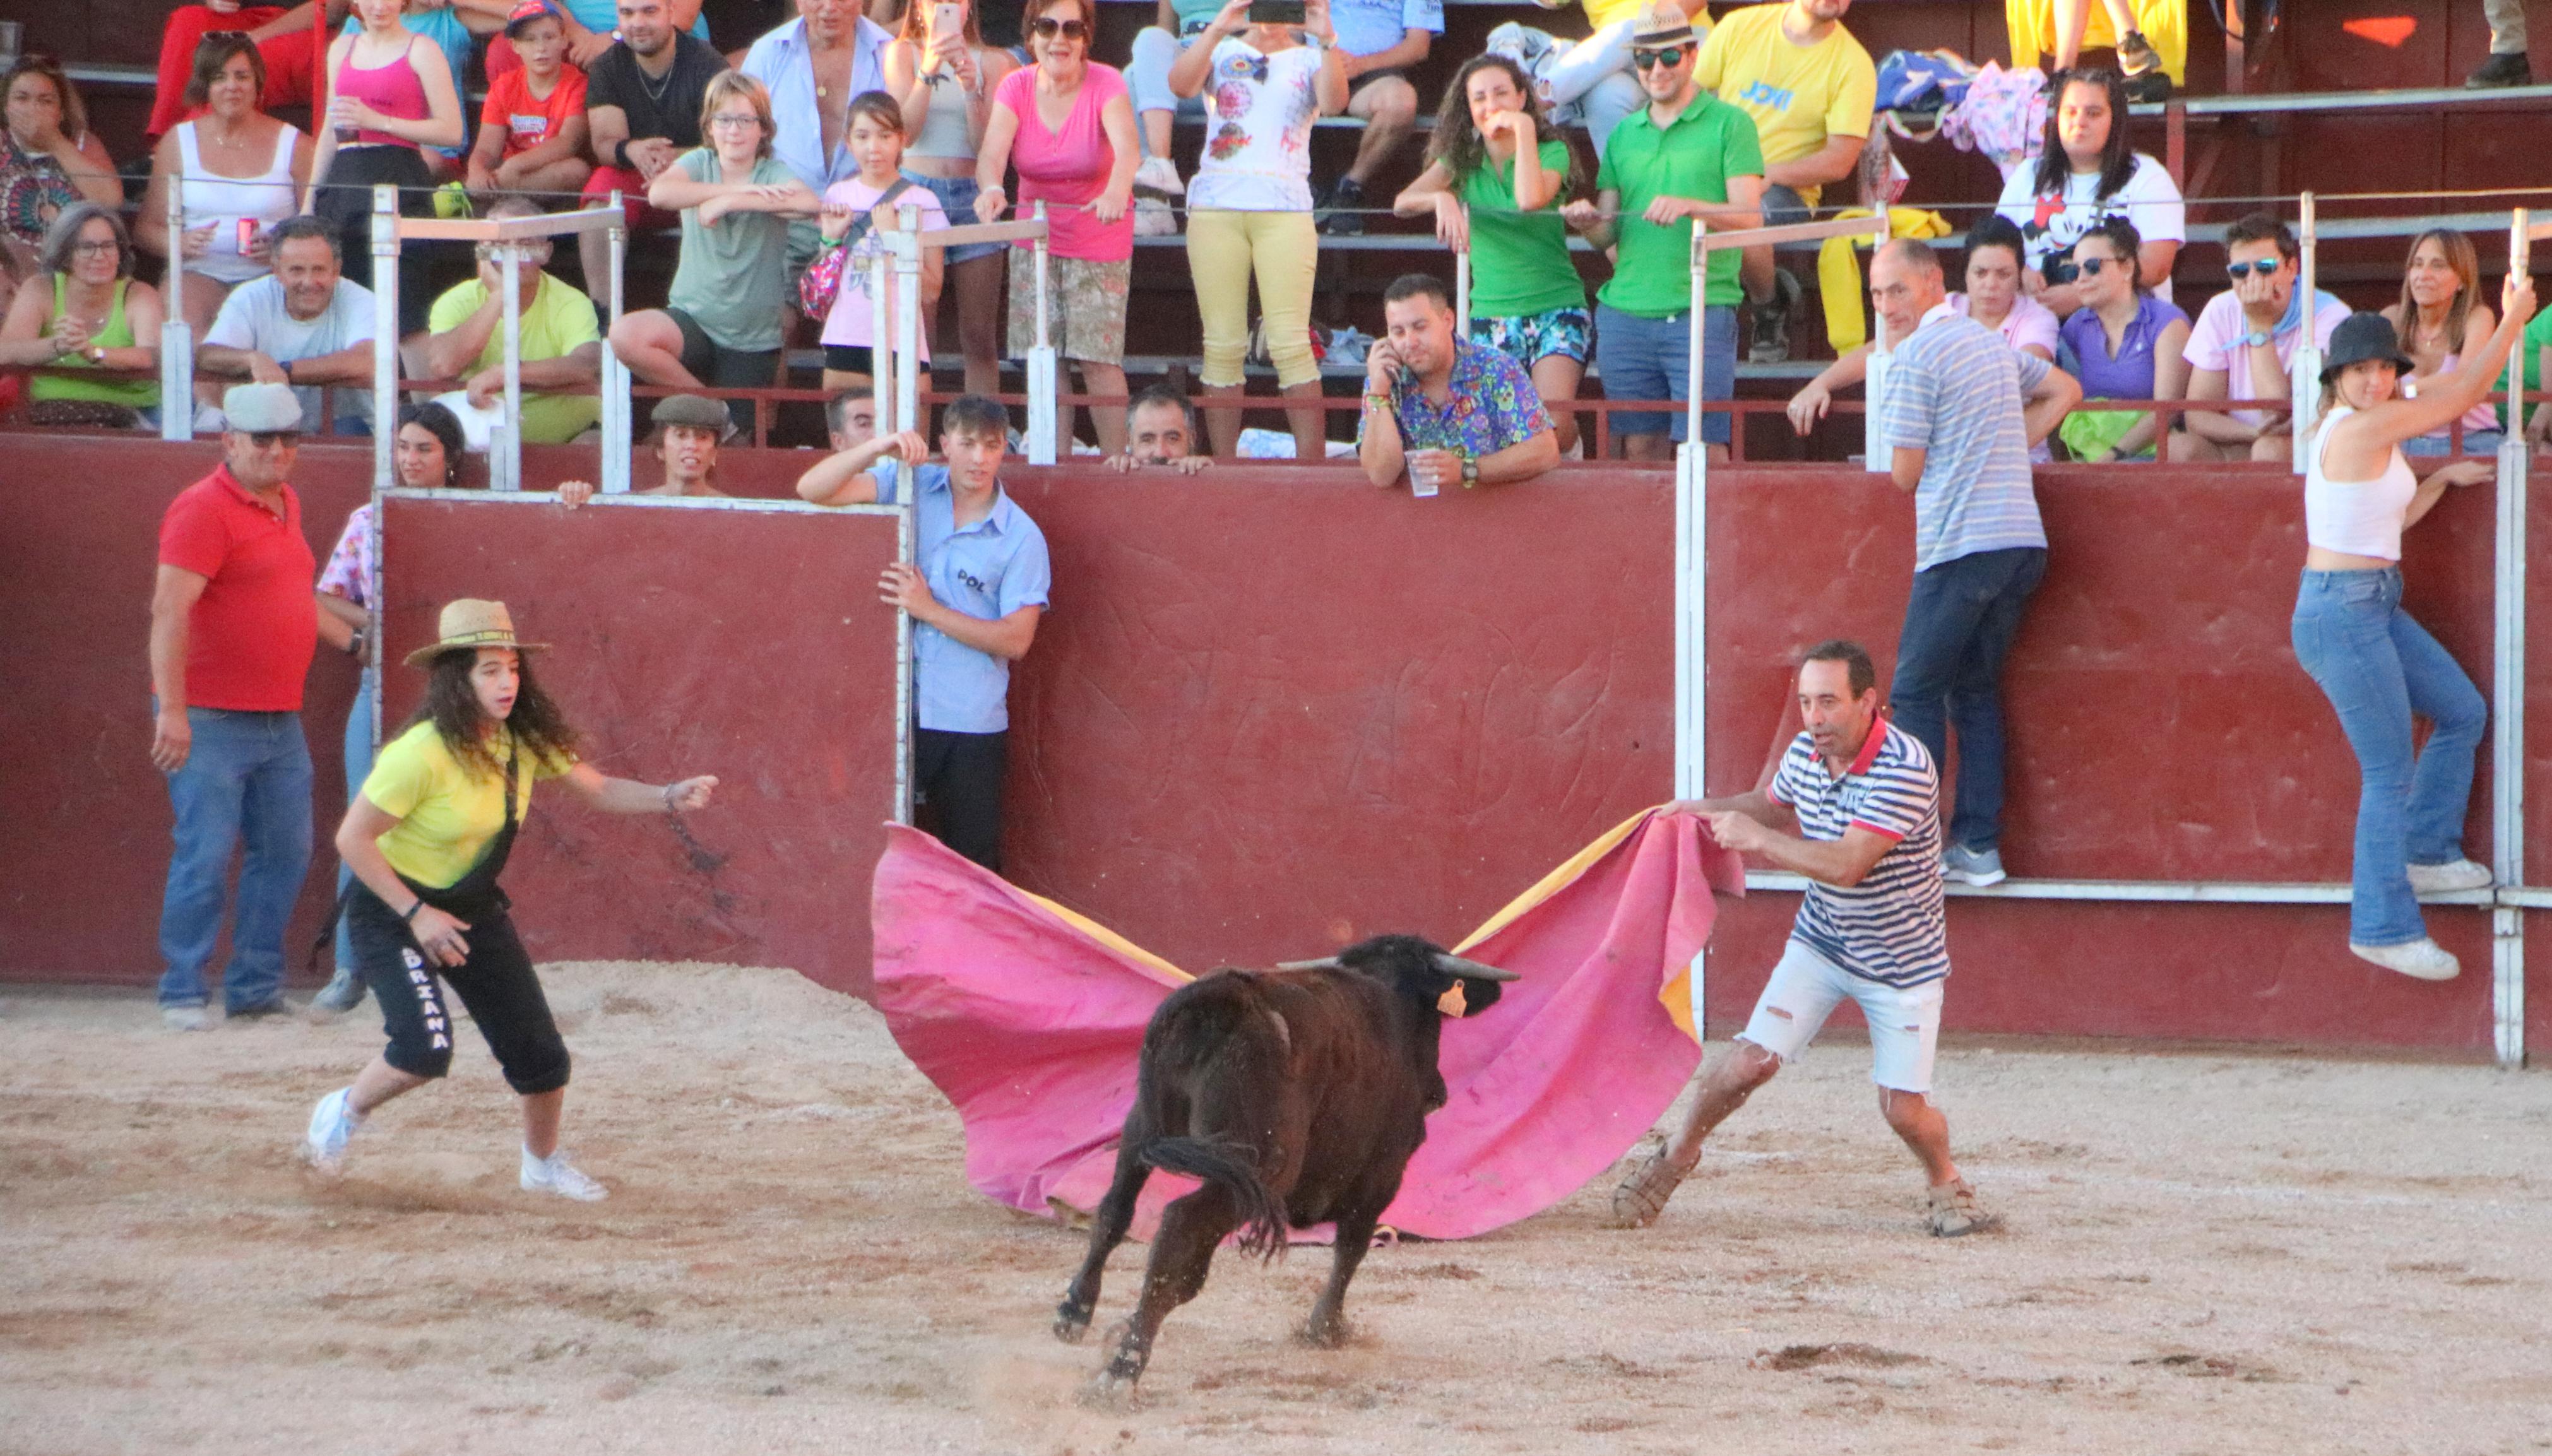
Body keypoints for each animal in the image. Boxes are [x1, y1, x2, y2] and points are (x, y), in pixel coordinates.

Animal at [1051, 938, 1510, 1397]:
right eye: (1434, 1022)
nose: (1438, 1093)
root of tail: (1222, 997)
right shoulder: (1383, 1173)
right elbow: (1352, 1246)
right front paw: (1325, 1327)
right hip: (1258, 1165)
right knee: (1181, 1229)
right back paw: (1123, 1367)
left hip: (1142, 1126)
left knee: (1115, 1209)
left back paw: (1075, 1312)